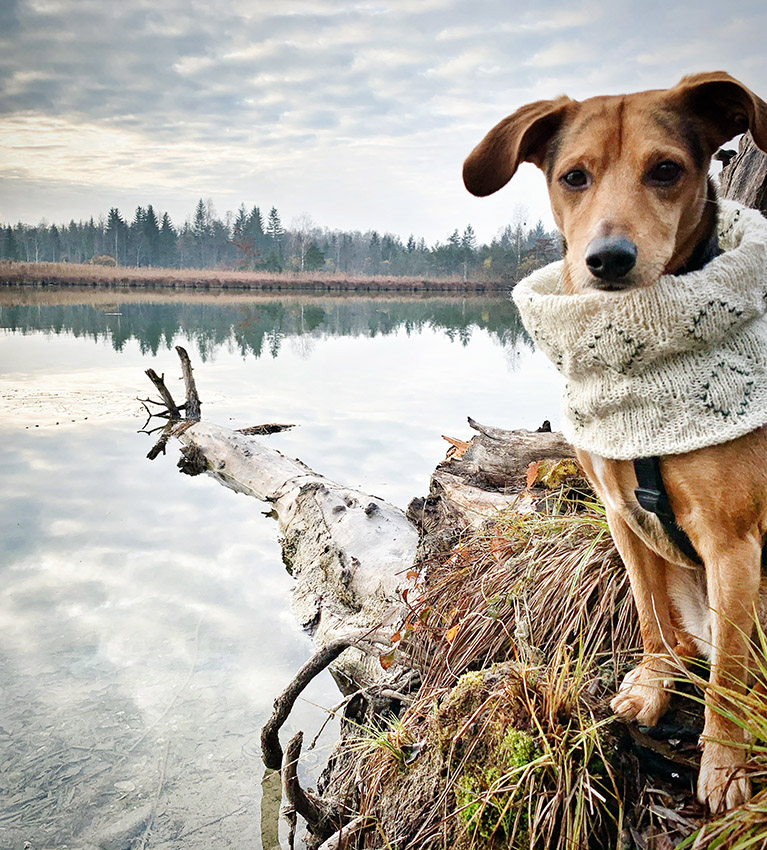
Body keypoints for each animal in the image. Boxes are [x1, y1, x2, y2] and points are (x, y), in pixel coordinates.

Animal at [464, 74, 767, 816]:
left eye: (666, 171)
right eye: (574, 176)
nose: (607, 258)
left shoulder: (733, 543)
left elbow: (728, 679)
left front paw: (723, 767)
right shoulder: (622, 517)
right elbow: (650, 618)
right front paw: (652, 689)